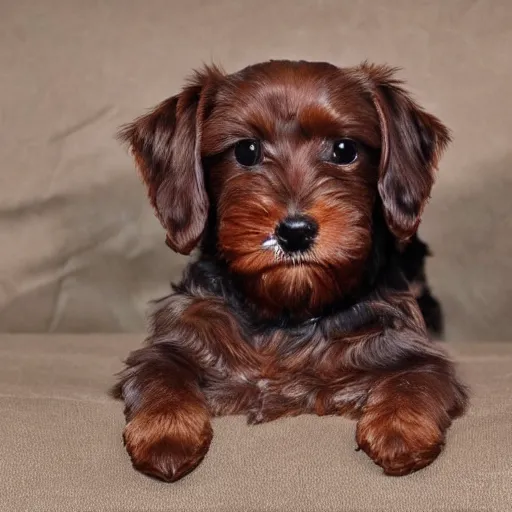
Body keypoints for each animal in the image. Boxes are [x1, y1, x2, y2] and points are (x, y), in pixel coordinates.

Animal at [116, 60, 468, 480]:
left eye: (344, 149)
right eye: (246, 150)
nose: (295, 232)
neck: (288, 309)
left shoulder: (407, 344)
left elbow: (416, 378)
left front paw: (398, 432)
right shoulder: (180, 334)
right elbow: (160, 372)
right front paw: (165, 433)